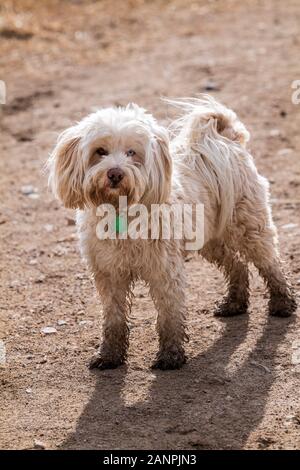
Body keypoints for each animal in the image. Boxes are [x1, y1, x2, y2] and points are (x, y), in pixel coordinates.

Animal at [48, 97, 296, 370]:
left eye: (132, 152)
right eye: (100, 151)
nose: (115, 173)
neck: (121, 211)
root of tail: (227, 139)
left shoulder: (164, 270)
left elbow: (169, 315)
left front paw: (171, 356)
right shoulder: (109, 274)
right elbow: (113, 319)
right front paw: (110, 355)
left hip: (249, 227)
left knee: (270, 263)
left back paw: (283, 303)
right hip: (209, 239)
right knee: (237, 264)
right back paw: (234, 303)